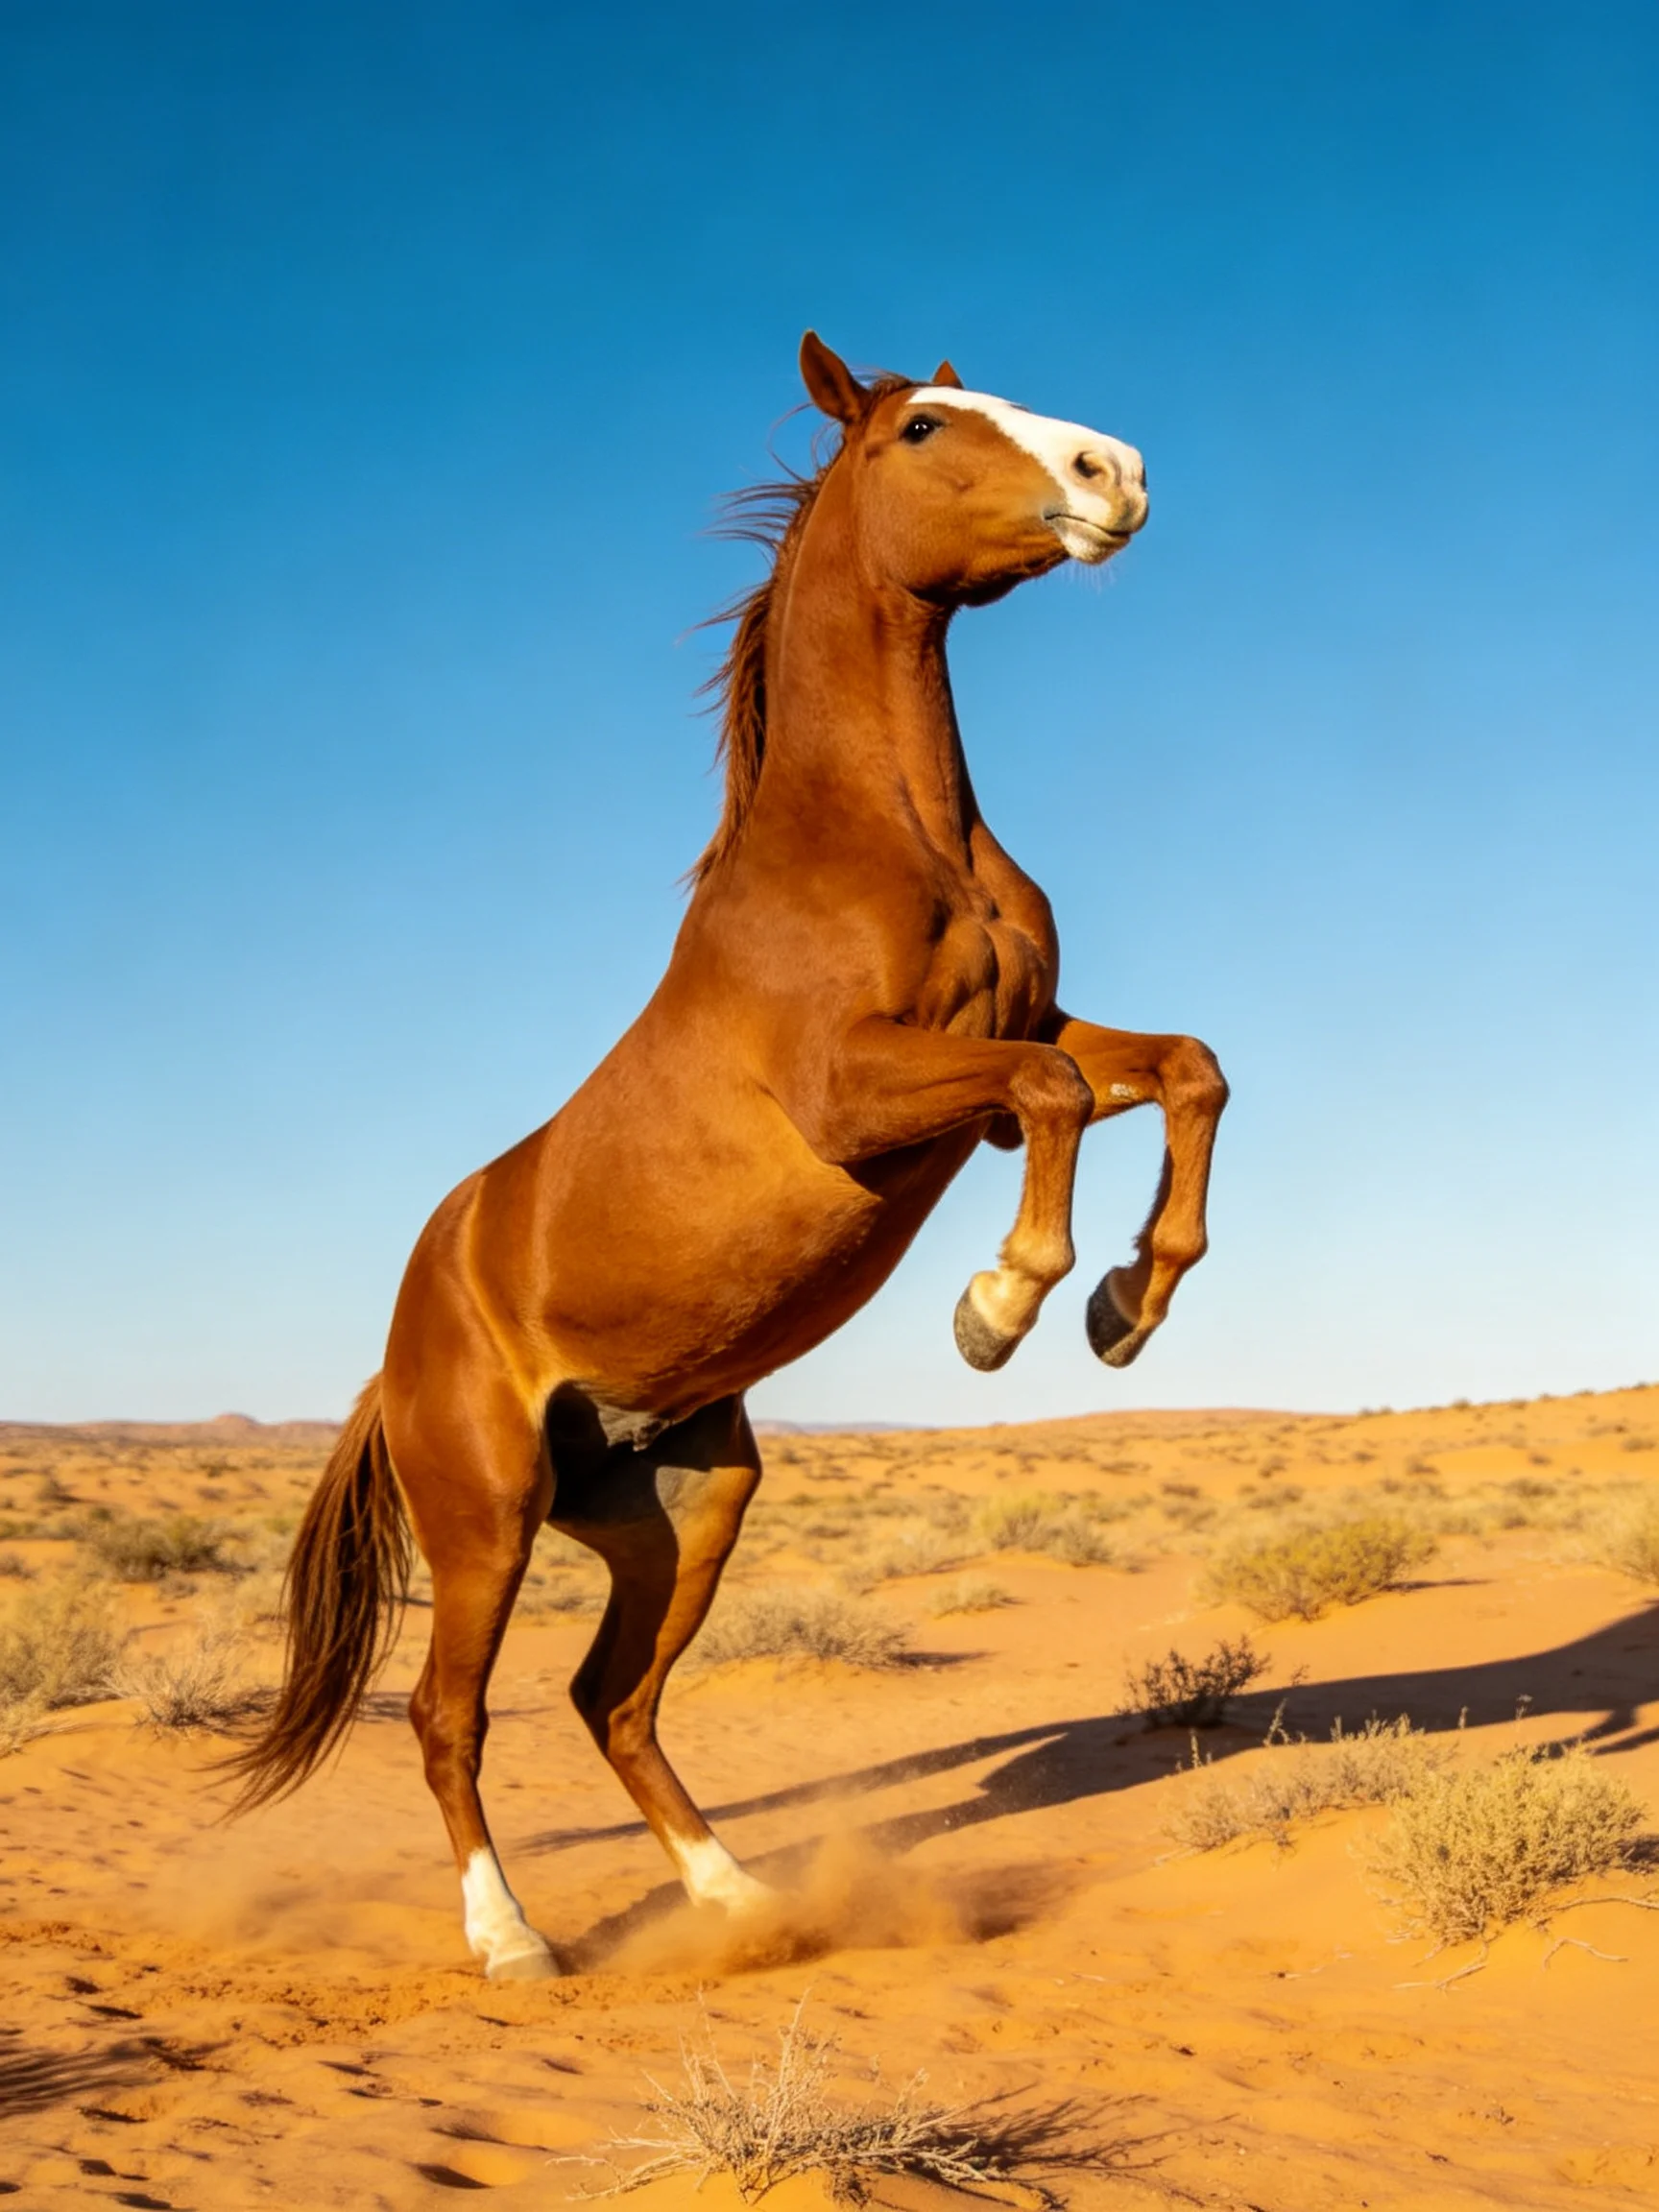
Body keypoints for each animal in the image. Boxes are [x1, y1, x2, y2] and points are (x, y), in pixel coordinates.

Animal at [226, 334, 1228, 1979]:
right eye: (926, 426)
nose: (1118, 473)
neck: (886, 841)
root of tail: (398, 1353)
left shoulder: (1027, 1040)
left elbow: (1183, 1068)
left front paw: (1125, 1310)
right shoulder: (865, 1094)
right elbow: (1056, 1098)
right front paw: (1002, 1309)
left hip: (685, 1511)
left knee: (611, 1699)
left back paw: (741, 1901)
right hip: (486, 1518)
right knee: (450, 1714)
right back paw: (515, 1941)